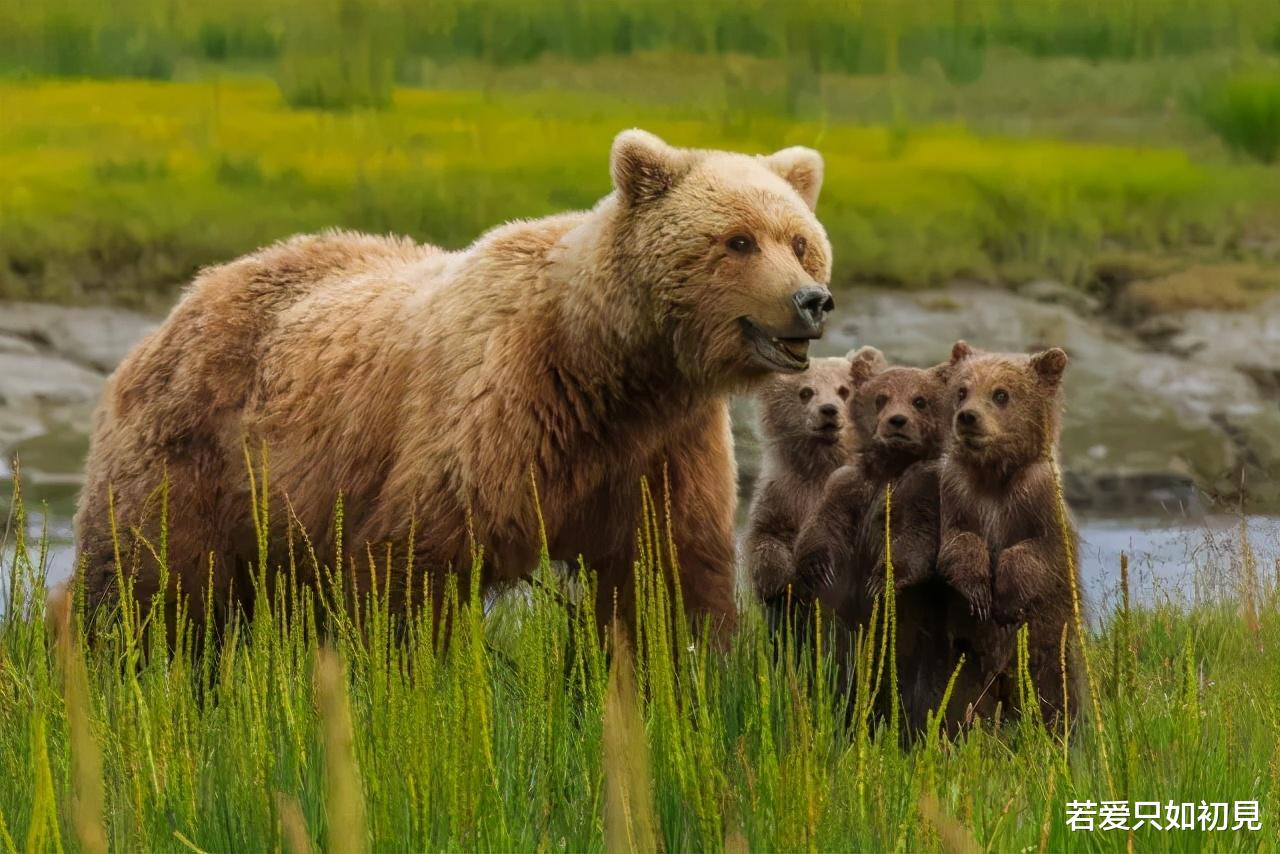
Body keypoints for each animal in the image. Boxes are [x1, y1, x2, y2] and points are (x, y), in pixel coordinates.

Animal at [72, 130, 829, 637]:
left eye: (799, 241)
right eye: (737, 240)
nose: (812, 300)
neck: (611, 367)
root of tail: (182, 303)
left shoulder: (662, 445)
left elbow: (668, 577)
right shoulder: (501, 410)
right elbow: (414, 565)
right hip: (195, 450)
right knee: (151, 582)